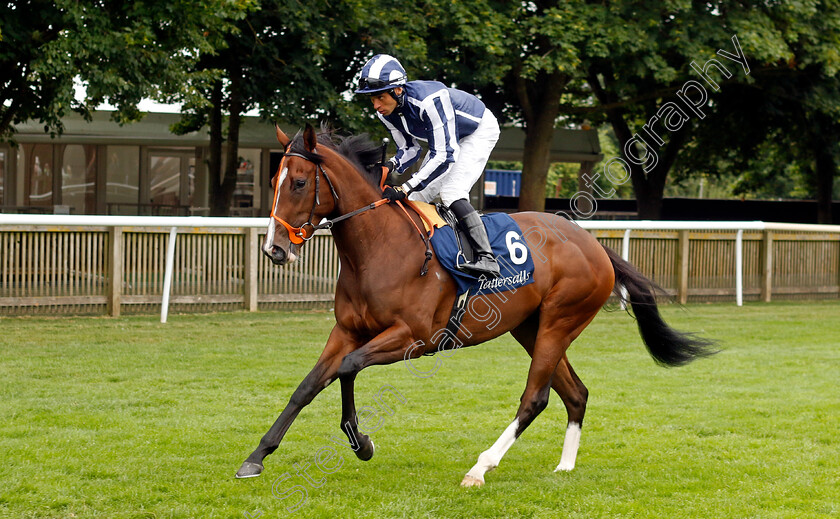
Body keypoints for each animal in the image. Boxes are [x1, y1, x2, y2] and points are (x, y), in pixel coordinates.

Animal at [236, 125, 716, 488]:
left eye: (299, 182)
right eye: (274, 181)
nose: (274, 250)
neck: (379, 249)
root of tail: (593, 245)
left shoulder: (413, 338)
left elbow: (348, 368)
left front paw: (361, 441)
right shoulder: (347, 330)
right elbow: (309, 385)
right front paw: (256, 456)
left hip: (560, 322)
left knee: (535, 398)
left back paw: (480, 467)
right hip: (531, 328)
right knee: (575, 393)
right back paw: (564, 466)